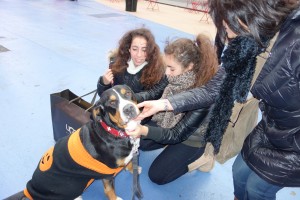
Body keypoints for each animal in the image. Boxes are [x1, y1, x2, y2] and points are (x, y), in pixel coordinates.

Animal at [6, 85, 142, 200]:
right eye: (111, 102)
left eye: (128, 93)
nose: (129, 109)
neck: (114, 131)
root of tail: (30, 189)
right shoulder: (107, 174)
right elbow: (109, 191)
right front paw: (115, 198)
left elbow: (129, 162)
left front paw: (132, 168)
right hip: (72, 184)